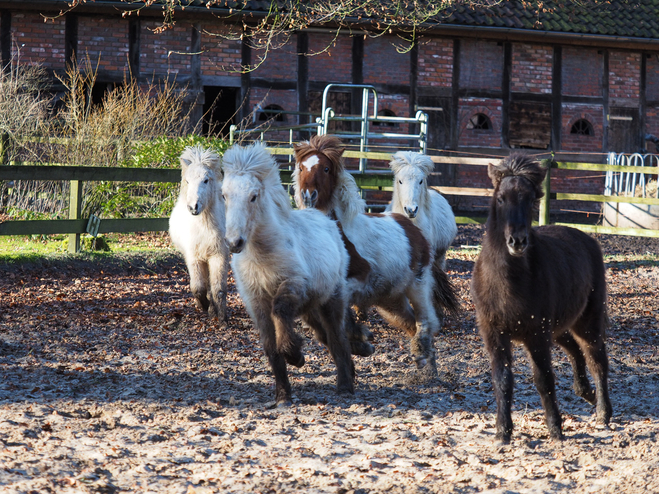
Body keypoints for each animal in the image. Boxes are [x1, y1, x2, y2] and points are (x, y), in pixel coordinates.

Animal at [170, 145, 229, 326]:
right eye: (187, 181)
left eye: (206, 180)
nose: (193, 207)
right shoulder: (194, 258)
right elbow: (198, 288)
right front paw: (205, 306)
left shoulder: (219, 256)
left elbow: (218, 289)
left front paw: (222, 319)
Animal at [294, 133, 458, 372]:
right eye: (300, 167)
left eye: (325, 168)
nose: (308, 196)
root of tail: (412, 227)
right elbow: (323, 328)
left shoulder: (357, 281)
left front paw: (362, 340)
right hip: (391, 300)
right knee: (411, 323)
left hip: (417, 285)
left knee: (427, 322)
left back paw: (425, 360)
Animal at [472, 152, 612, 442]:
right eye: (500, 198)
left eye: (529, 199)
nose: (517, 241)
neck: (509, 284)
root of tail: (588, 240)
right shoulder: (495, 334)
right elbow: (502, 379)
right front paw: (502, 432)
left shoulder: (536, 333)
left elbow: (543, 379)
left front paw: (555, 428)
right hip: (558, 327)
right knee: (574, 350)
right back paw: (586, 392)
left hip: (586, 321)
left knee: (596, 359)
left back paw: (603, 412)